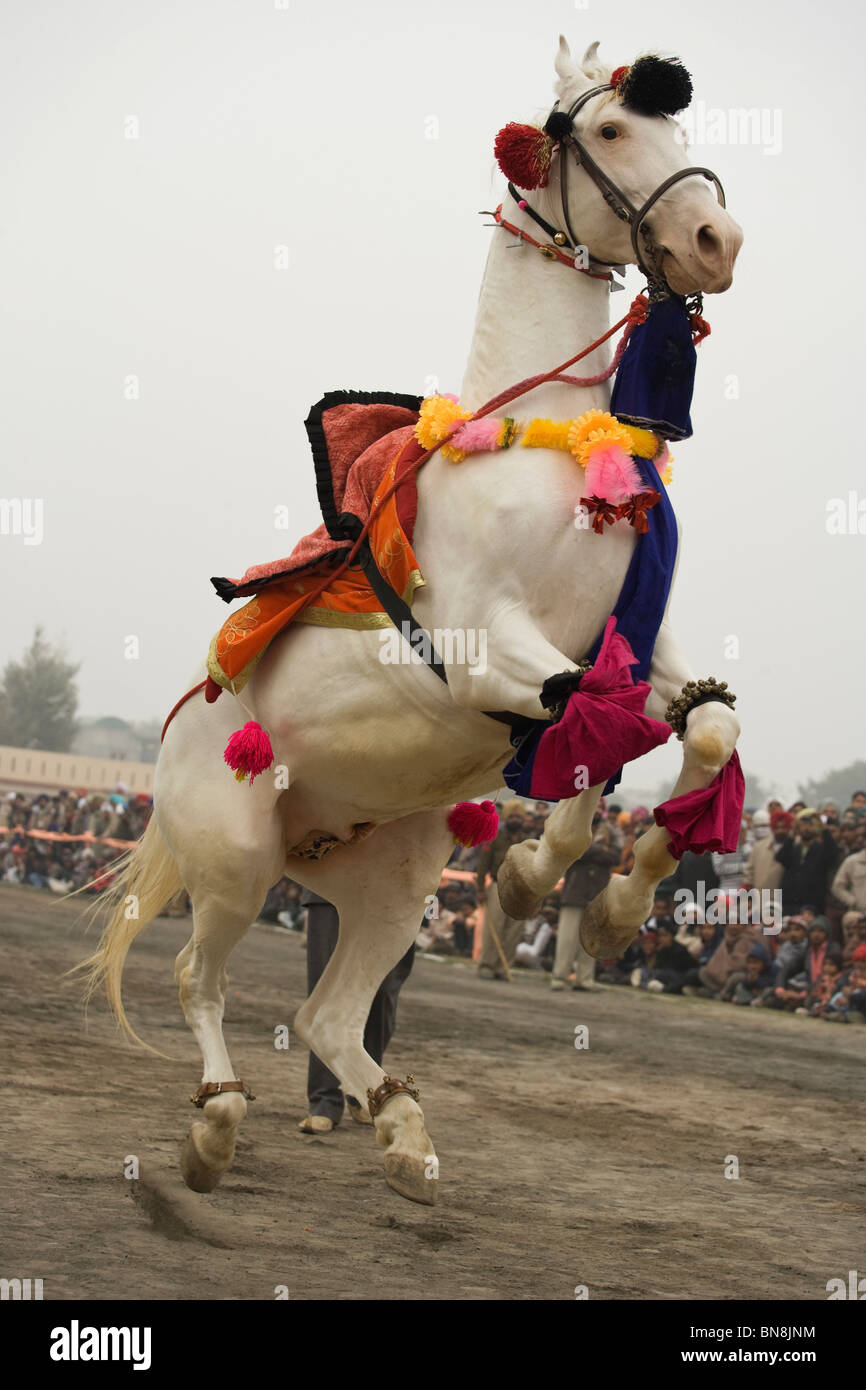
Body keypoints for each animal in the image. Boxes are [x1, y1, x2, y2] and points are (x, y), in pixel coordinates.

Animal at [83, 32, 745, 1206]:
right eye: (612, 128)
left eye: (673, 123)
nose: (717, 238)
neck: (546, 449)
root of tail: (171, 746)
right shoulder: (488, 655)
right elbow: (595, 722)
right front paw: (538, 878)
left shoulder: (630, 635)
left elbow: (692, 723)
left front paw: (607, 906)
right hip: (234, 856)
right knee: (199, 979)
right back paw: (215, 1125)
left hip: (388, 878)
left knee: (325, 1013)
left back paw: (399, 1129)